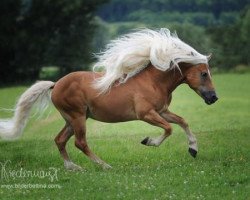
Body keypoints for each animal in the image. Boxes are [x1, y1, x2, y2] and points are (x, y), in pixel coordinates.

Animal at [0, 28, 218, 170]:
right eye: (204, 74)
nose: (214, 98)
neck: (153, 82)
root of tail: (56, 85)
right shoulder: (146, 114)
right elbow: (169, 129)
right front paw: (148, 141)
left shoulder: (162, 111)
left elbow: (182, 122)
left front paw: (193, 149)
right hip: (78, 117)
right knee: (80, 142)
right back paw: (104, 166)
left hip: (72, 119)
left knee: (60, 140)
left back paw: (73, 167)